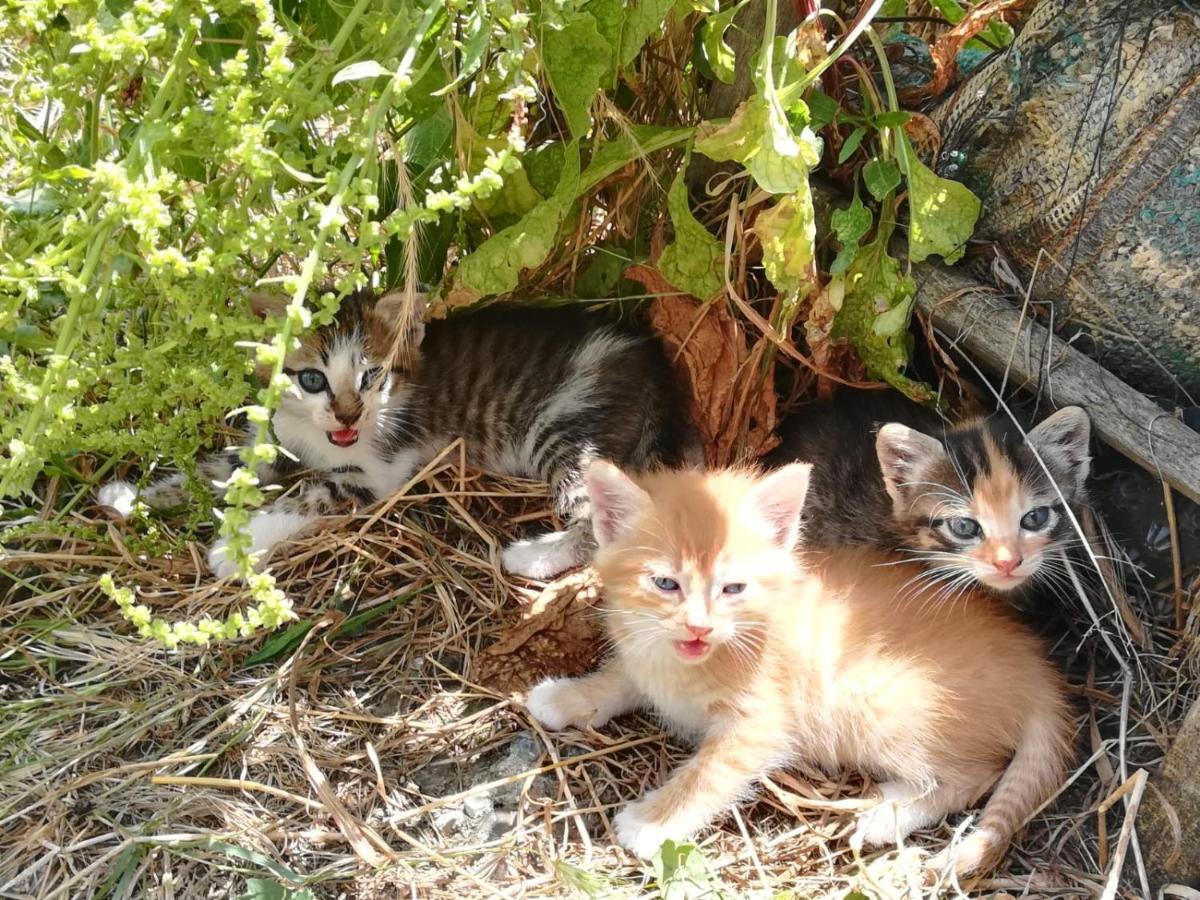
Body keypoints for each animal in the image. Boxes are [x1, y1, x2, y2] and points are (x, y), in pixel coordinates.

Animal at [100, 292, 696, 580]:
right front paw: (132, 495)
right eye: (312, 379)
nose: (347, 417)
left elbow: (306, 496)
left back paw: (532, 557)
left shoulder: (373, 475)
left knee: (597, 524)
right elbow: (219, 468)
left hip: (566, 431)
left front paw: (235, 547)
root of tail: (653, 363)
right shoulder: (272, 444)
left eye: (372, 376)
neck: (316, 435)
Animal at [530, 460, 1075, 878]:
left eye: (733, 588)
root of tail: (1039, 672)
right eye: (665, 583)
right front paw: (565, 697)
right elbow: (621, 677)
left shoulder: (762, 725)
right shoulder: (649, 656)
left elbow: (709, 772)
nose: (699, 628)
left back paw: (888, 814)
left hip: (877, 705)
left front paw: (652, 821)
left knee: (977, 773)